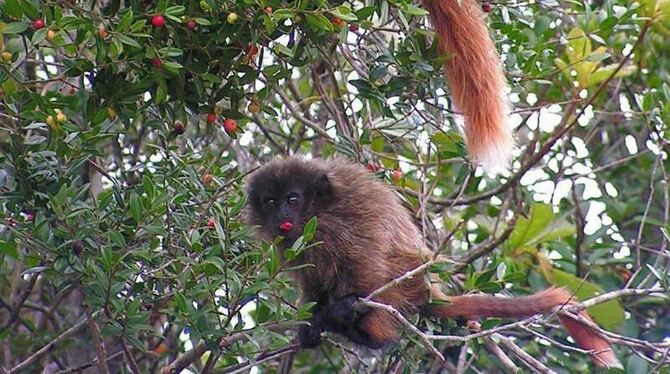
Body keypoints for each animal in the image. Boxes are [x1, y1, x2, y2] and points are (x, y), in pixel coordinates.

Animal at [247, 156, 624, 370]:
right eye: (270, 201)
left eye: (293, 199)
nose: (281, 217)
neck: (316, 210)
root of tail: (429, 288)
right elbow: (310, 279)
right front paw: (311, 320)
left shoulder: (332, 227)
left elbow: (364, 260)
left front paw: (341, 309)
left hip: (406, 276)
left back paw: (362, 329)